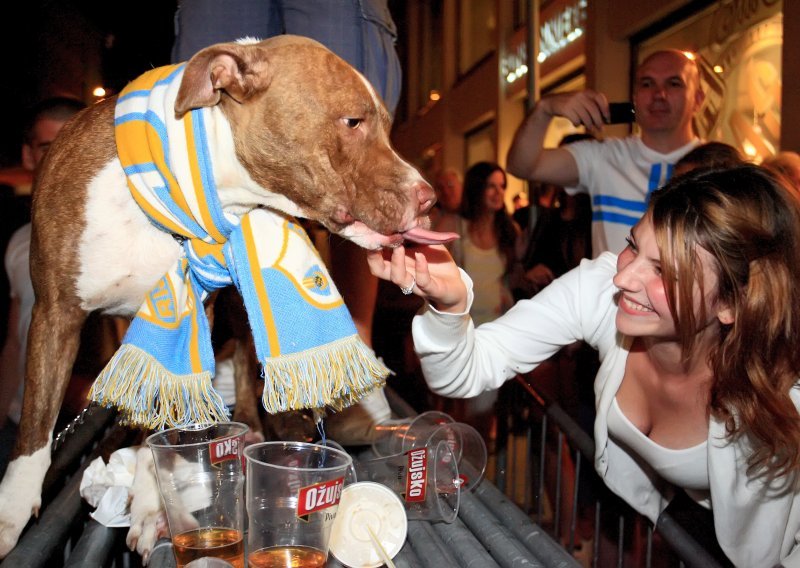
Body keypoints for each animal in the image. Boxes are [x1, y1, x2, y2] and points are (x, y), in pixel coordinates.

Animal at [0, 34, 444, 560]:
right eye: (353, 121)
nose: (428, 197)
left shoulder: (196, 316)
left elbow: (163, 419)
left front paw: (150, 505)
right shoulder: (54, 313)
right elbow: (35, 428)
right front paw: (10, 513)